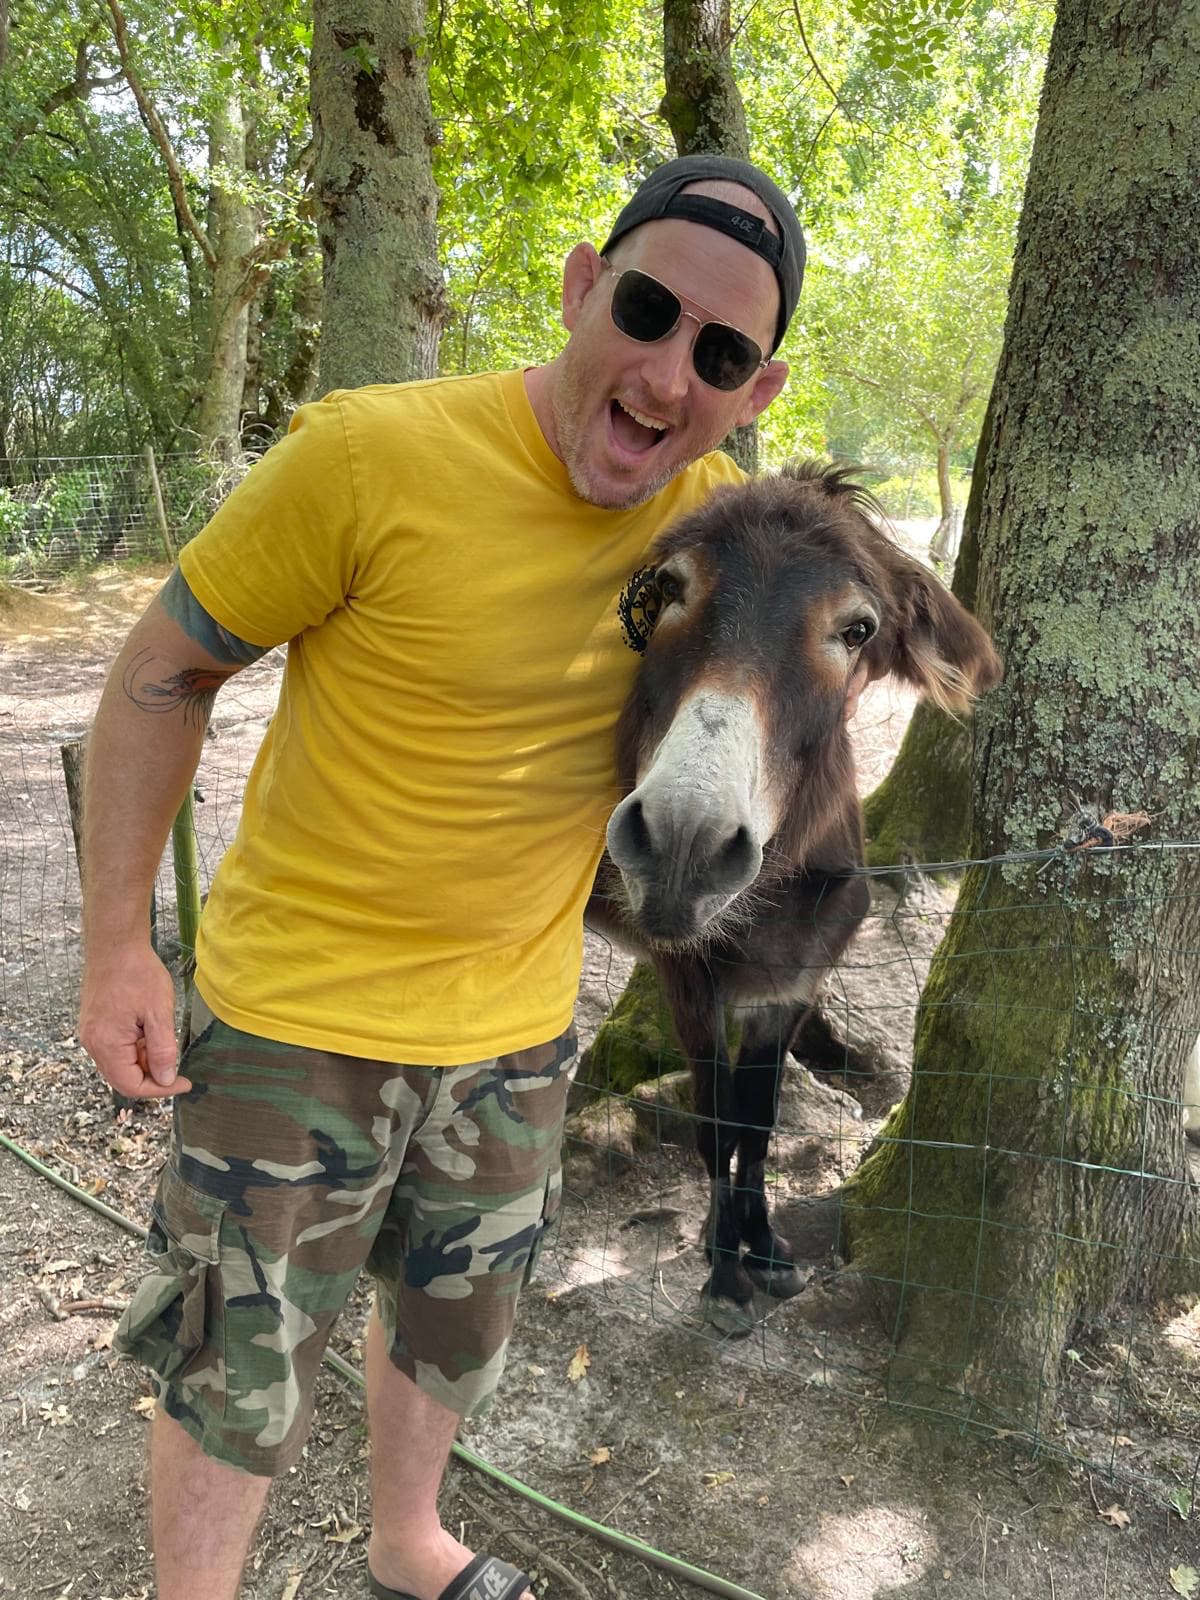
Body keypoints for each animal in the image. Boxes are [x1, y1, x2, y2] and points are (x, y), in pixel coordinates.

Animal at [586, 462, 1002, 1333]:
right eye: (670, 588)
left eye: (858, 630)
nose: (684, 842)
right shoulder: (692, 985)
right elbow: (715, 1122)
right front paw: (723, 1272)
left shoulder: (791, 986)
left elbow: (759, 1119)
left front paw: (764, 1248)